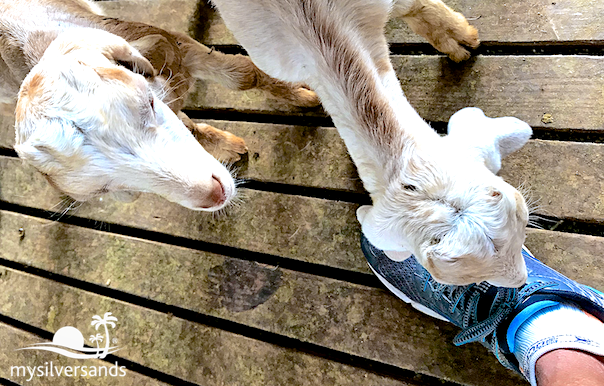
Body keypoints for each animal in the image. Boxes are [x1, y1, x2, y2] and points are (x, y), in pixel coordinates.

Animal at [0, 0, 318, 211]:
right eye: (107, 187)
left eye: (148, 104)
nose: (213, 194)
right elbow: (191, 123)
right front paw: (227, 145)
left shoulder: (175, 46)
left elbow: (242, 75)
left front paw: (302, 93)